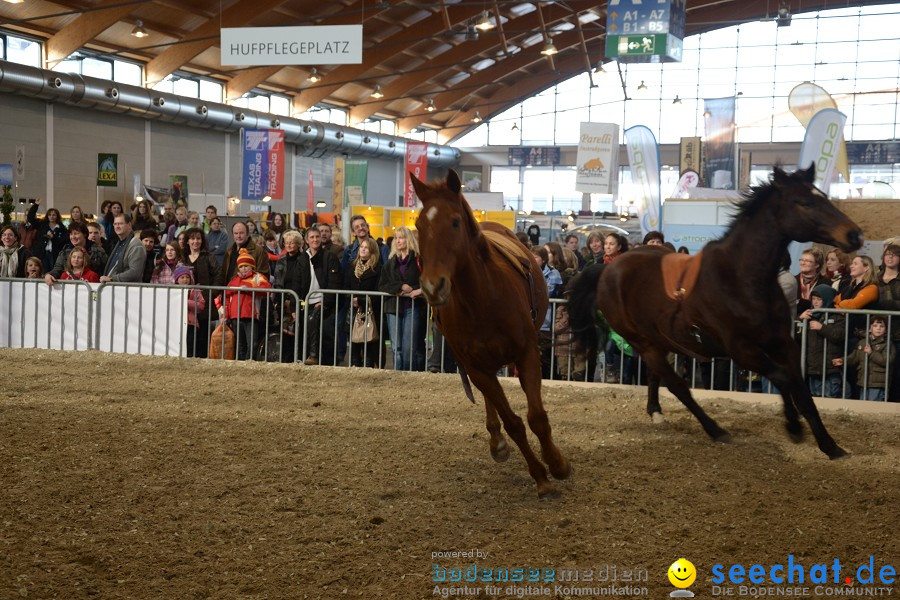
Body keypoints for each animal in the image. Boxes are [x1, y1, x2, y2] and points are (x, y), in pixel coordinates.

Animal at [414, 169, 572, 496]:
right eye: (419, 224)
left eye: (455, 222)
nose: (433, 286)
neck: (483, 298)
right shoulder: (476, 368)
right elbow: (514, 423)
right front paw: (540, 477)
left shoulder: (527, 354)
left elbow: (537, 417)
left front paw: (557, 464)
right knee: (493, 402)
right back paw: (497, 441)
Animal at [572, 166, 860, 458]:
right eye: (804, 202)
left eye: (823, 197)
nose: (854, 234)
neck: (742, 278)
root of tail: (608, 270)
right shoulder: (741, 350)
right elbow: (783, 379)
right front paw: (794, 427)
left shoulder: (783, 343)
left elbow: (801, 391)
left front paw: (830, 445)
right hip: (642, 342)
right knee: (677, 385)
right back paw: (715, 429)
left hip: (659, 340)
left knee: (656, 377)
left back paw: (657, 413)